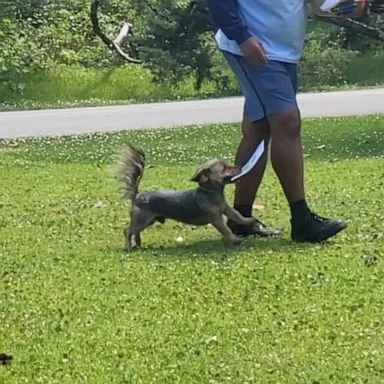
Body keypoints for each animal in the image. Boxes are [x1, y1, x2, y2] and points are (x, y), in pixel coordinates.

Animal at [113, 146, 255, 250]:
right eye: (225, 168)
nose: (239, 167)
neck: (210, 192)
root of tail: (137, 195)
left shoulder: (226, 208)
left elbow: (237, 215)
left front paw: (248, 220)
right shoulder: (216, 219)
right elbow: (226, 229)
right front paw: (235, 239)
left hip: (147, 221)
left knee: (134, 232)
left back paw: (138, 243)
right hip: (142, 220)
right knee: (127, 231)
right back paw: (128, 247)